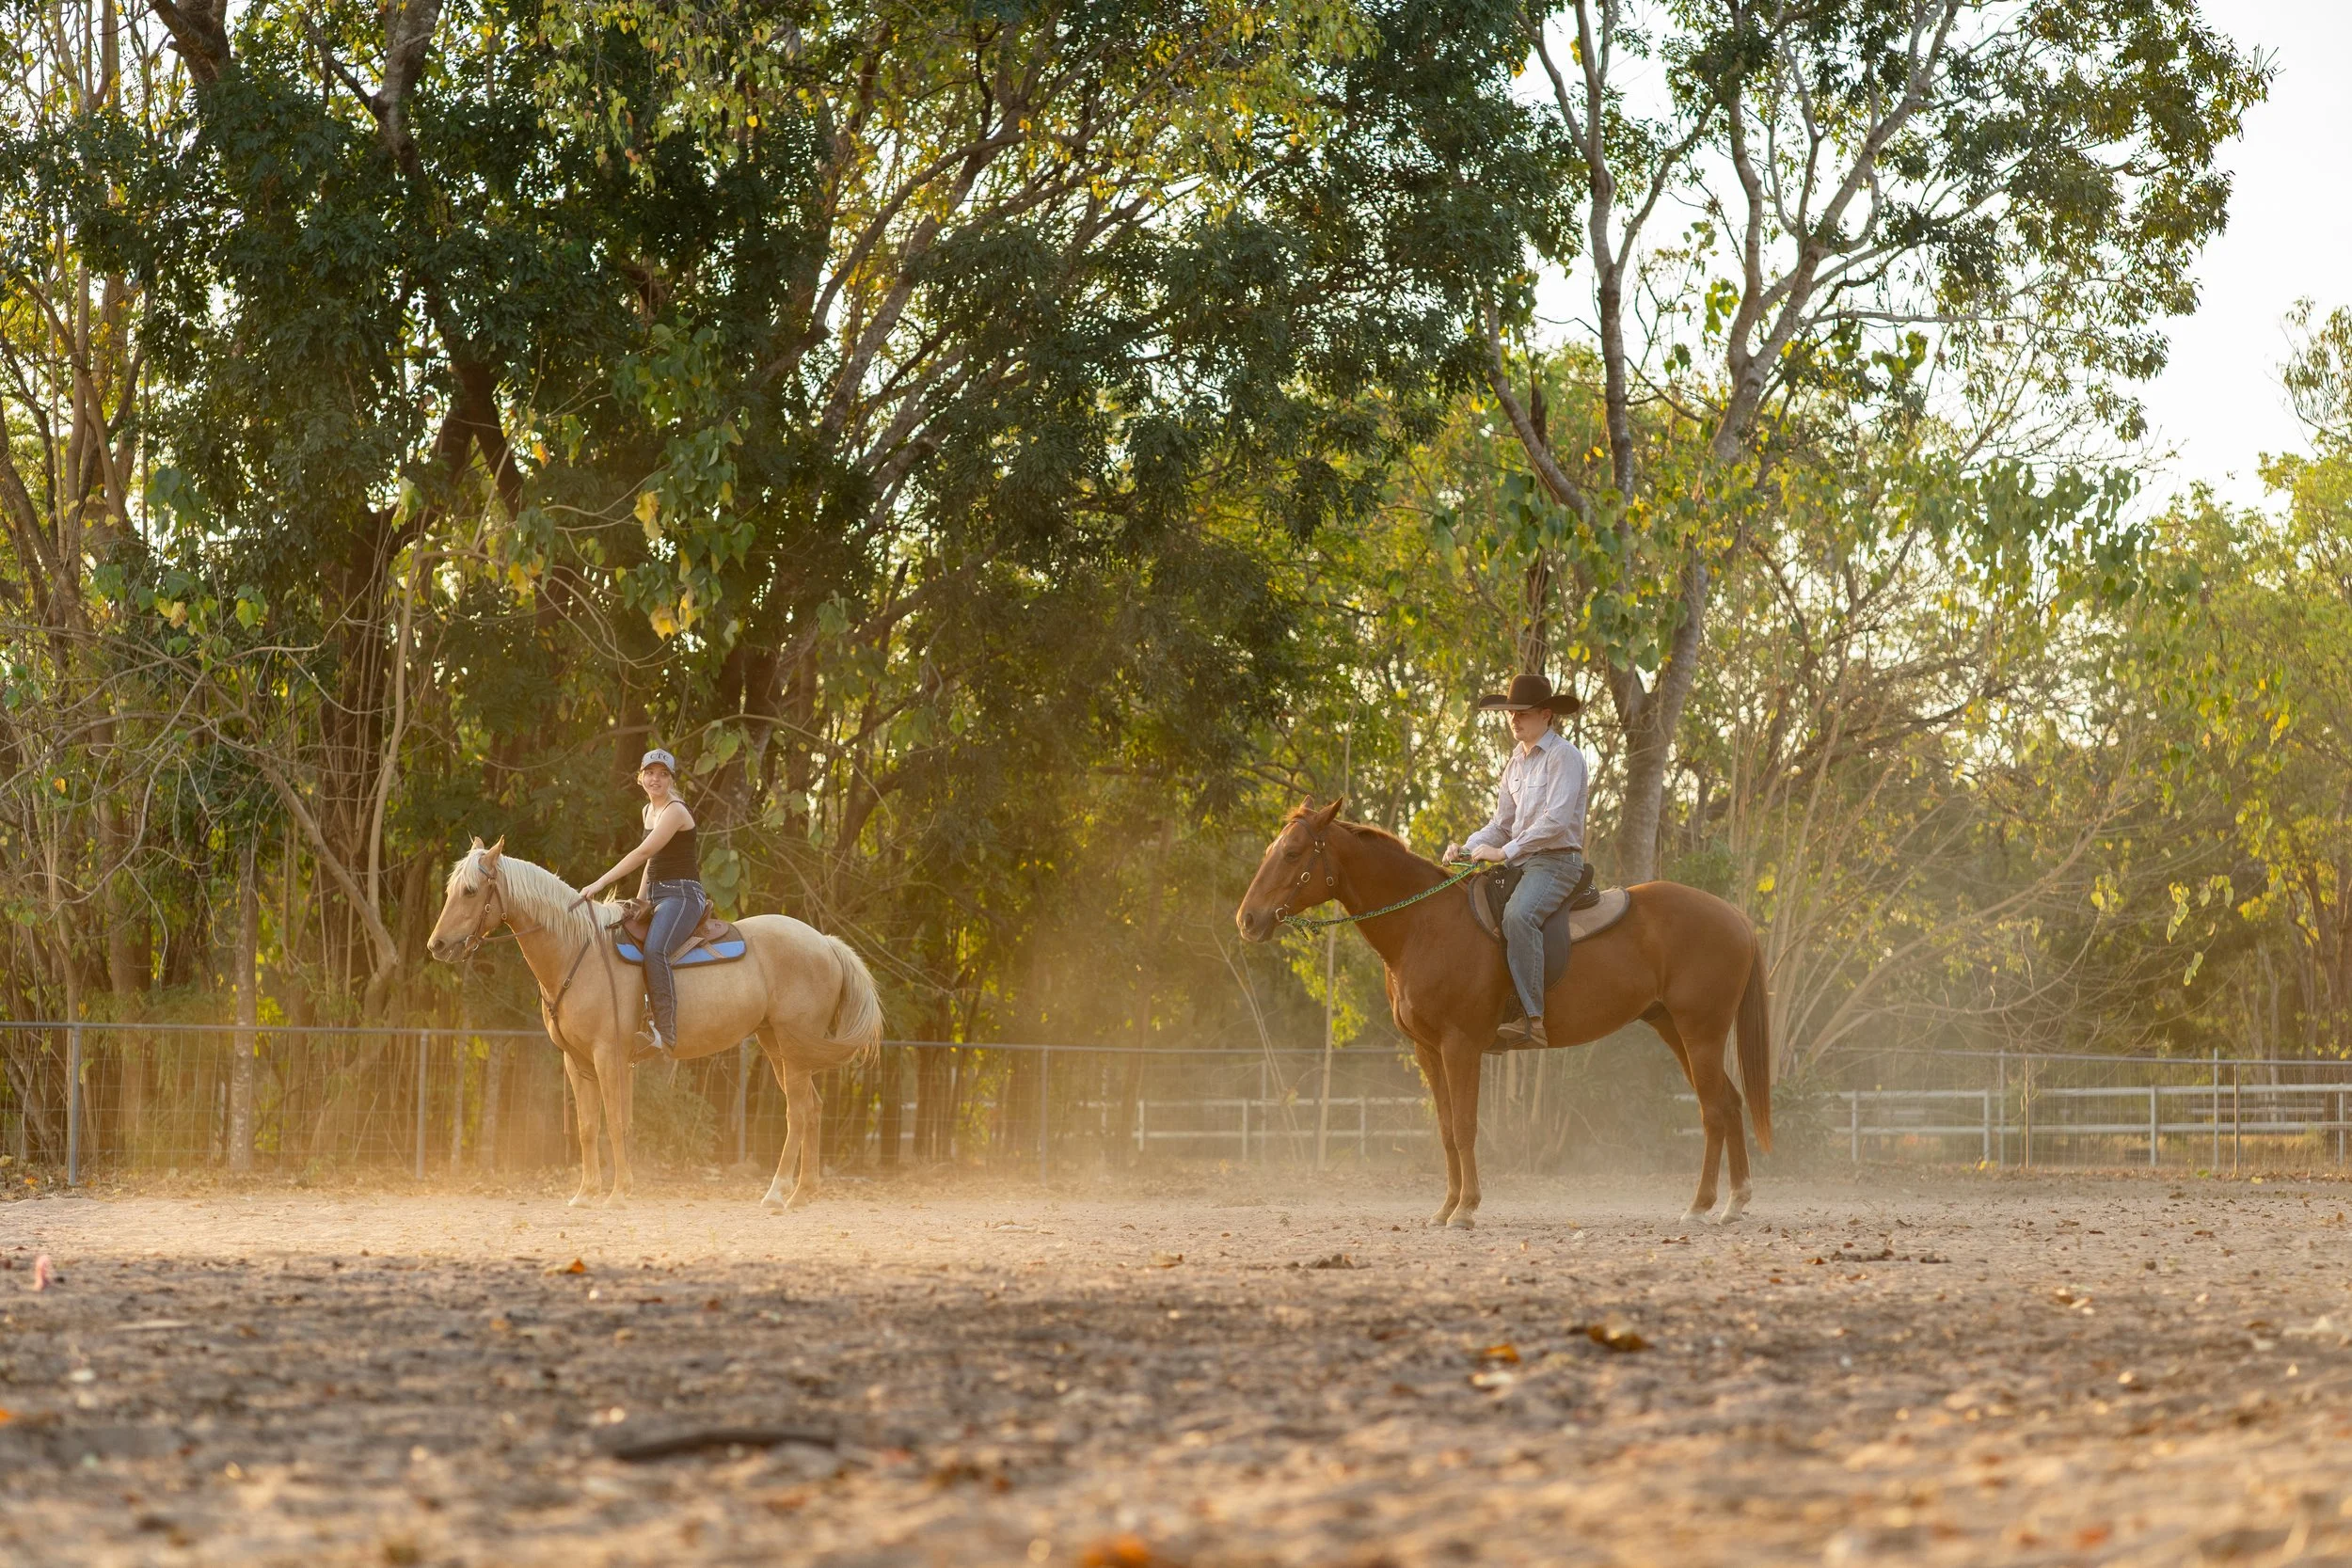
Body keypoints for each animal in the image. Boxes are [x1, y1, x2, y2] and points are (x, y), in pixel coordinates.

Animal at [425, 838, 883, 1209]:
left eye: (470, 890)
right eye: (449, 891)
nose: (437, 945)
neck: (580, 951)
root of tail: (825, 943)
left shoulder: (607, 1056)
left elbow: (614, 1122)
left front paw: (618, 1192)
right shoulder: (576, 1061)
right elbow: (588, 1127)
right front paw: (585, 1194)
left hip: (792, 1046)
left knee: (799, 1112)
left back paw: (776, 1193)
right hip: (778, 1045)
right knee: (814, 1109)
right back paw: (803, 1192)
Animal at [1234, 800, 1771, 1228]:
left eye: (1292, 853)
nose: (1248, 920)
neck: (1425, 925)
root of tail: (1736, 917)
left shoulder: (1460, 1046)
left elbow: (1466, 1127)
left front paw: (1466, 1209)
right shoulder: (1428, 1050)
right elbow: (1447, 1131)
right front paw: (1445, 1208)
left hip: (1700, 1033)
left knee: (1714, 1110)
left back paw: (1700, 1207)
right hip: (1673, 1028)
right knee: (1730, 1102)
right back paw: (1735, 1203)